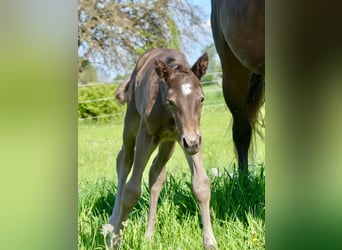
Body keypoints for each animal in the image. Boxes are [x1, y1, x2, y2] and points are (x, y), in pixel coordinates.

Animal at [104, 47, 216, 249]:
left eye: (202, 99)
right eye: (171, 101)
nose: (192, 143)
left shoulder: (189, 137)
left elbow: (201, 184)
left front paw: (210, 242)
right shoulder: (146, 136)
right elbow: (131, 191)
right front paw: (116, 240)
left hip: (168, 143)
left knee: (156, 173)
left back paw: (148, 236)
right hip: (132, 121)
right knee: (124, 160)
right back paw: (112, 225)